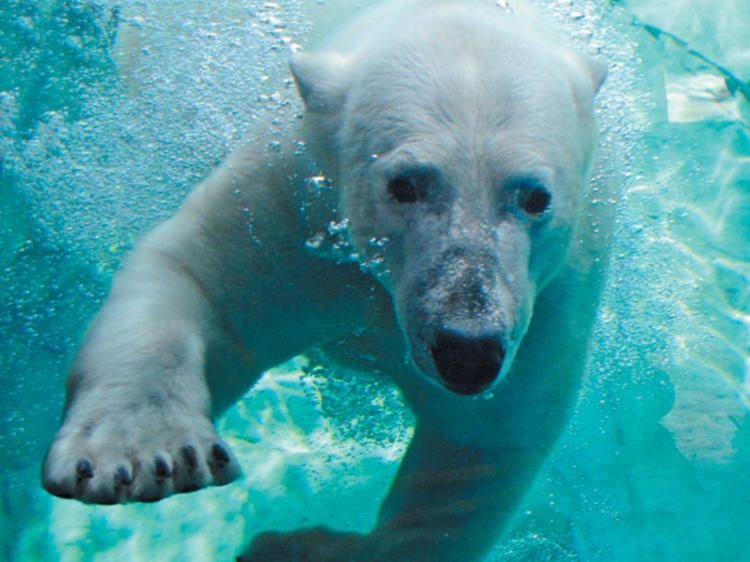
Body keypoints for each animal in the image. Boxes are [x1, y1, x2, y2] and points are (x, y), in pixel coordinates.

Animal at [41, 2, 612, 556]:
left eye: (535, 196)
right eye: (405, 184)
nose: (467, 350)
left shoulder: (551, 295)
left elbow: (482, 438)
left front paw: (298, 546)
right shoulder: (291, 197)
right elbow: (198, 279)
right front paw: (144, 454)